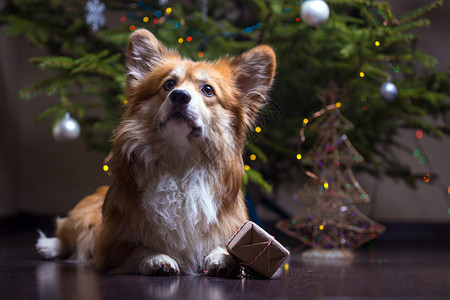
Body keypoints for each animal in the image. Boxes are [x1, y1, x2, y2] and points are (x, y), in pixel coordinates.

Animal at [36, 28, 274, 276]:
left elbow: (224, 245)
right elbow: (139, 249)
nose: (179, 95)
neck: (180, 162)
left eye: (208, 89)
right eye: (168, 84)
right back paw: (49, 246)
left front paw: (223, 258)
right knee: (68, 232)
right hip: (83, 219)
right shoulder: (111, 245)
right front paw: (158, 259)